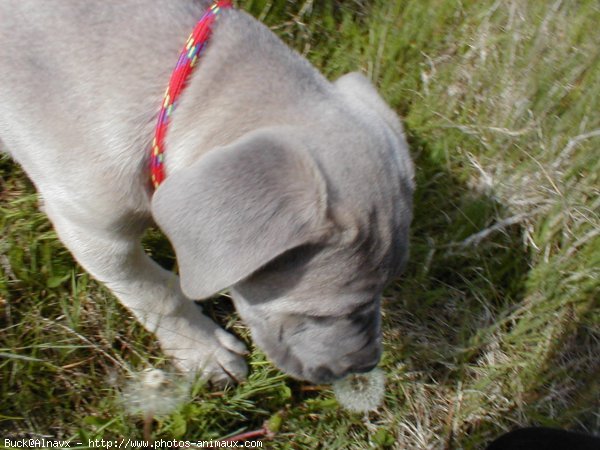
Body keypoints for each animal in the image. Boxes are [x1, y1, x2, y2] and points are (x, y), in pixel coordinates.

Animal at [0, 1, 414, 384]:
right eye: (322, 314)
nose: (366, 366)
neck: (183, 92)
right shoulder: (91, 228)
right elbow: (157, 292)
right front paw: (204, 352)